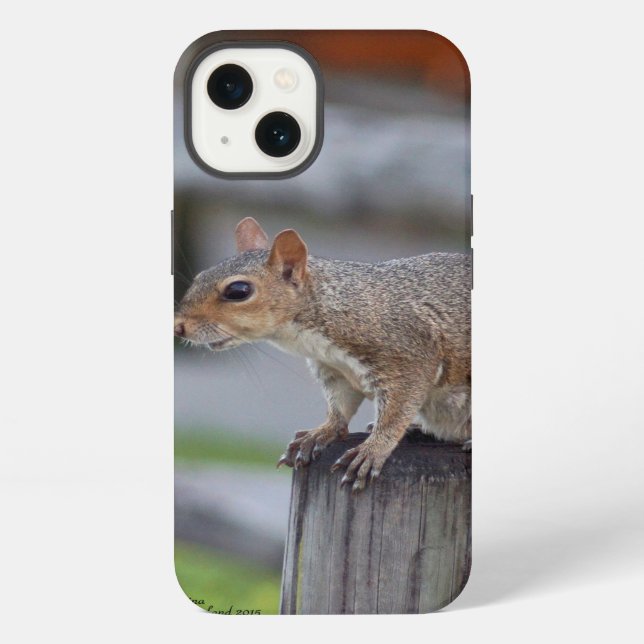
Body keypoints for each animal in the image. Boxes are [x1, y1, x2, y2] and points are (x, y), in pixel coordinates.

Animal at [174, 217, 471, 492]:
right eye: (200, 277)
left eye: (238, 291)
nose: (178, 327)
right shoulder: (333, 369)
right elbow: (340, 407)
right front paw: (320, 433)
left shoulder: (409, 356)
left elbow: (396, 413)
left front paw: (373, 450)